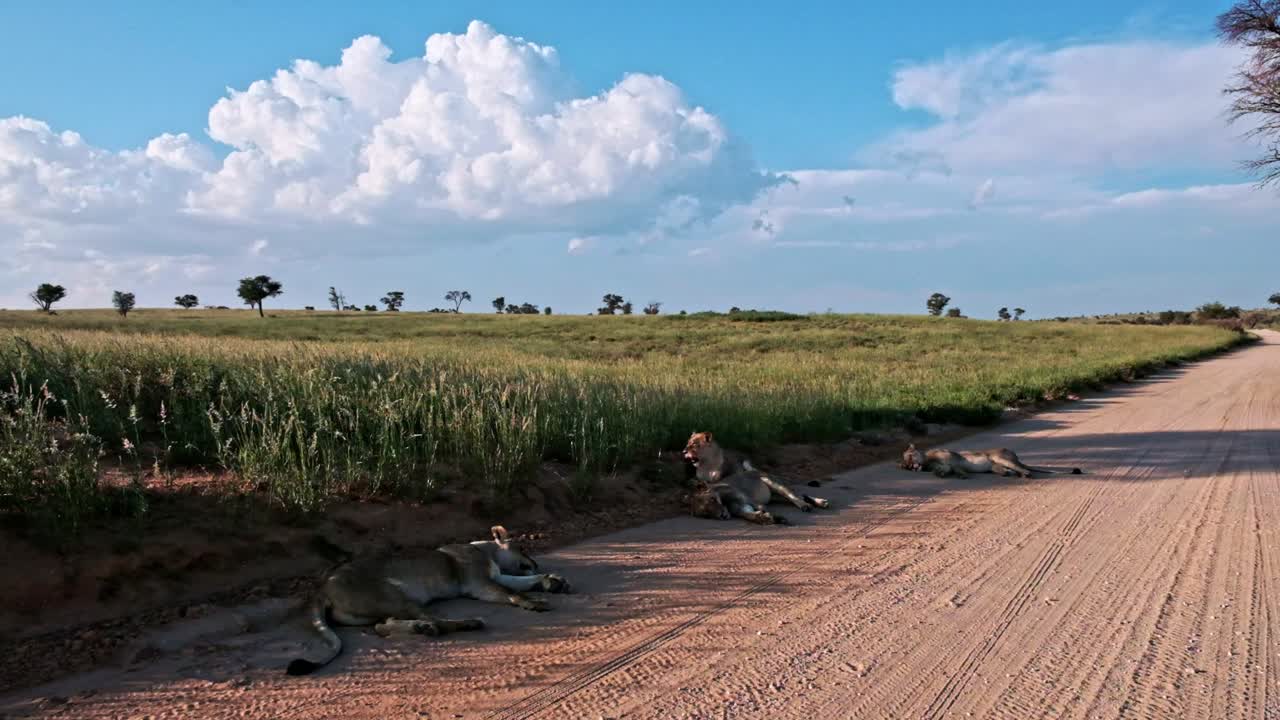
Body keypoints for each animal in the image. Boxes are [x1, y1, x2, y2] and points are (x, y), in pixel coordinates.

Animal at [285, 526, 570, 676]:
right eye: (522, 548)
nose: (536, 562)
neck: (485, 549)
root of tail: (323, 587)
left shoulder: (496, 576)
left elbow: (521, 582)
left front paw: (552, 581)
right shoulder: (477, 583)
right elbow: (512, 591)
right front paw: (535, 601)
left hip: (383, 607)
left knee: (382, 626)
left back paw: (422, 628)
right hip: (395, 595)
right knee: (432, 619)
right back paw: (467, 622)